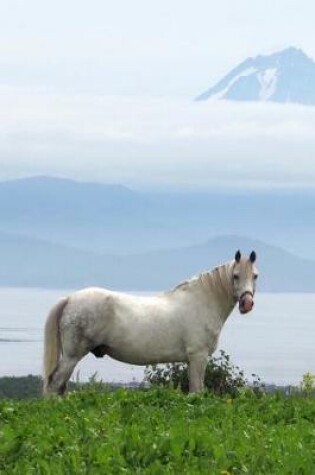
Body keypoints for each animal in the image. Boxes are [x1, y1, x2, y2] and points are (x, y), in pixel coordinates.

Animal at [42, 251, 260, 396]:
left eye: (255, 275)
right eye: (235, 276)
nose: (247, 303)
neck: (202, 300)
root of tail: (70, 299)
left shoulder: (192, 360)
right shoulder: (198, 356)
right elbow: (197, 391)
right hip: (72, 356)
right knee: (55, 384)